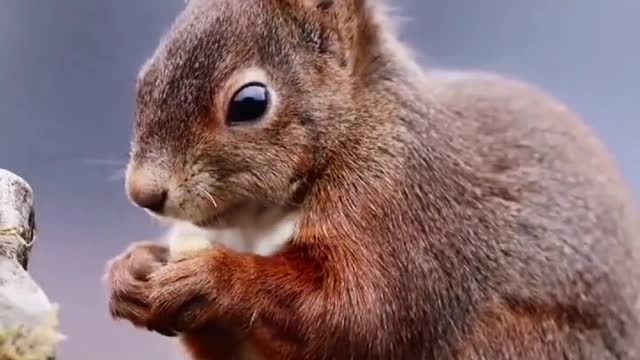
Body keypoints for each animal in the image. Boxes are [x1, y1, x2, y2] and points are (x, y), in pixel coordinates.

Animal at [102, 0, 640, 360]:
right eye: (144, 81)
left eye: (250, 103)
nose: (143, 192)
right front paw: (133, 267)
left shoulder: (397, 204)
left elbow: (357, 314)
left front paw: (209, 276)